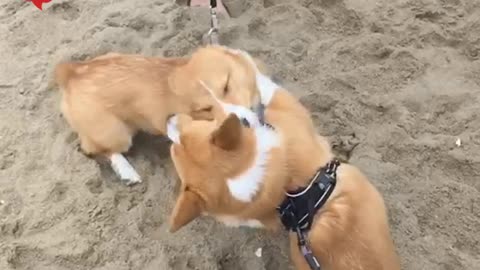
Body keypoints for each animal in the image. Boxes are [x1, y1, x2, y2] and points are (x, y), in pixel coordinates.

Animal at [54, 46, 264, 186]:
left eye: (226, 86)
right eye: (205, 108)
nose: (243, 124)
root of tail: (72, 74)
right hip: (116, 133)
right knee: (97, 150)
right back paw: (127, 172)